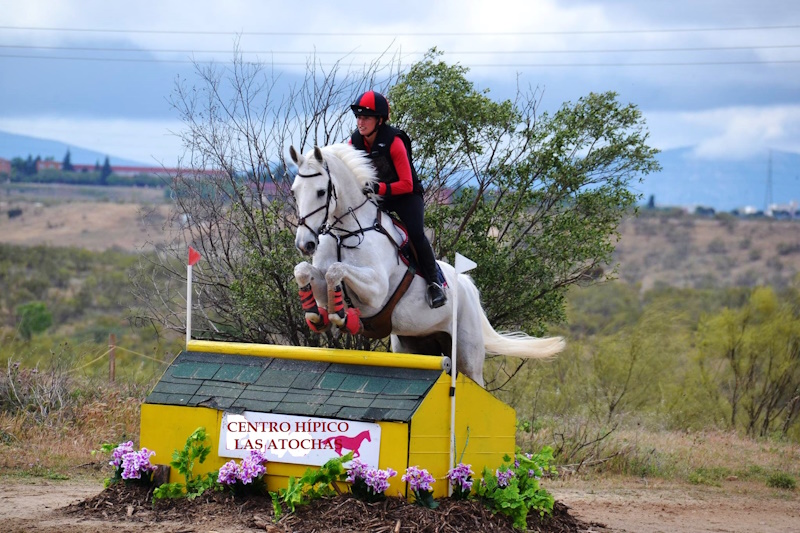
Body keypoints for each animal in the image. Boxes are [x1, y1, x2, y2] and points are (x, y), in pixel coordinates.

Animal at [288, 143, 564, 384]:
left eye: (320, 192)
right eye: (294, 191)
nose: (305, 244)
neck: (345, 232)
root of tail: (466, 285)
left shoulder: (376, 292)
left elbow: (337, 271)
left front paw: (343, 318)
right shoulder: (323, 276)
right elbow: (305, 271)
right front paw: (317, 315)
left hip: (467, 355)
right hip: (414, 345)